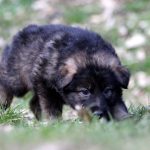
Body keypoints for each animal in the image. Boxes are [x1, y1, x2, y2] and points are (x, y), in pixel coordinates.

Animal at [0, 24, 130, 120]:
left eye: (107, 90)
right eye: (85, 92)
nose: (98, 114)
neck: (89, 52)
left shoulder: (115, 94)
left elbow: (119, 106)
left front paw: (125, 120)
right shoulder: (45, 84)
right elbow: (51, 108)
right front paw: (54, 123)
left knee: (33, 103)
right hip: (17, 80)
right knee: (5, 83)